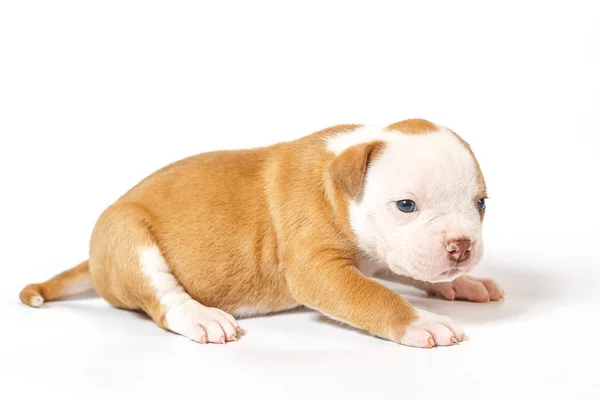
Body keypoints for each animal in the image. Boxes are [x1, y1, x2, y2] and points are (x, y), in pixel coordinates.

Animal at [19, 119, 502, 346]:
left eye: (481, 204)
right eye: (406, 206)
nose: (461, 246)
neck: (337, 183)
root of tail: (94, 262)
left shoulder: (383, 252)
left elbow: (406, 269)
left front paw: (463, 283)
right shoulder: (318, 270)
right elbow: (374, 295)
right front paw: (422, 322)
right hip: (128, 235)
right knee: (163, 300)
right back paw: (202, 317)